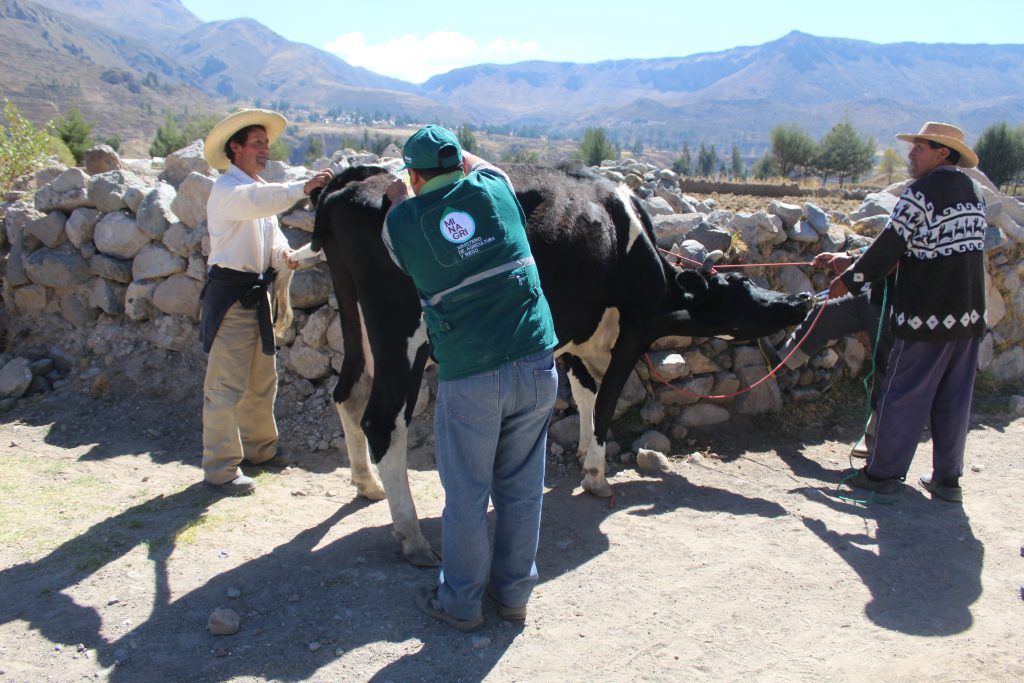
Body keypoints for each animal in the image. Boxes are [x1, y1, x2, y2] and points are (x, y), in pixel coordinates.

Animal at [278, 163, 806, 565]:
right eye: (743, 288)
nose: (800, 299)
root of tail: (353, 183)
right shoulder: (634, 330)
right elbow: (607, 400)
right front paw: (596, 476)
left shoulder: (572, 334)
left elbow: (586, 394)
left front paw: (583, 453)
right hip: (401, 337)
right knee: (383, 420)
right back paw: (413, 537)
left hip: (356, 324)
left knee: (346, 394)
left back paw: (366, 485)